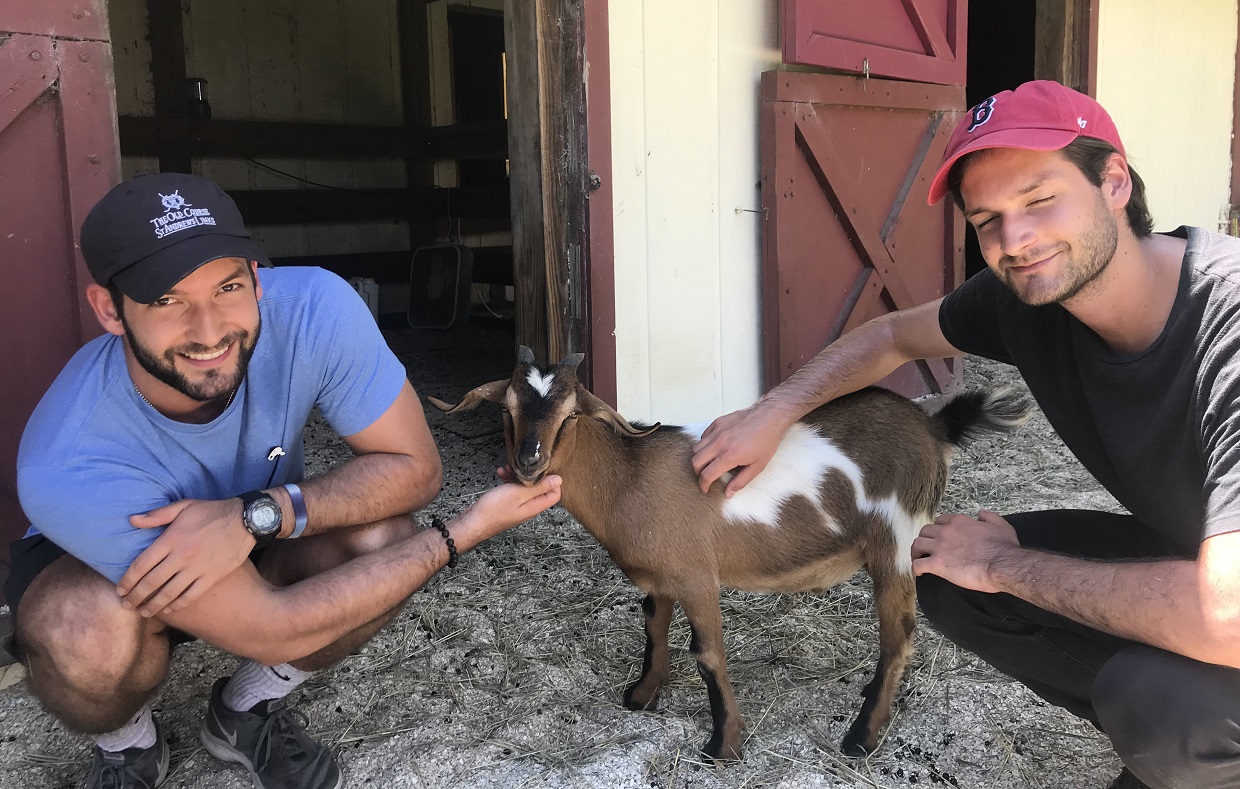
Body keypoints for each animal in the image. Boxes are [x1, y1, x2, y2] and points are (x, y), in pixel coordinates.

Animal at [430, 346, 1029, 761]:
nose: (528, 462)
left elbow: (709, 654)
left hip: (896, 540)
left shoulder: (698, 575)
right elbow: (653, 628)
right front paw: (642, 695)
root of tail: (932, 425)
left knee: (899, 633)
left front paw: (724, 745)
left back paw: (861, 736)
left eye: (572, 413)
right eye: (506, 409)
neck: (628, 479)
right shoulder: (661, 577)